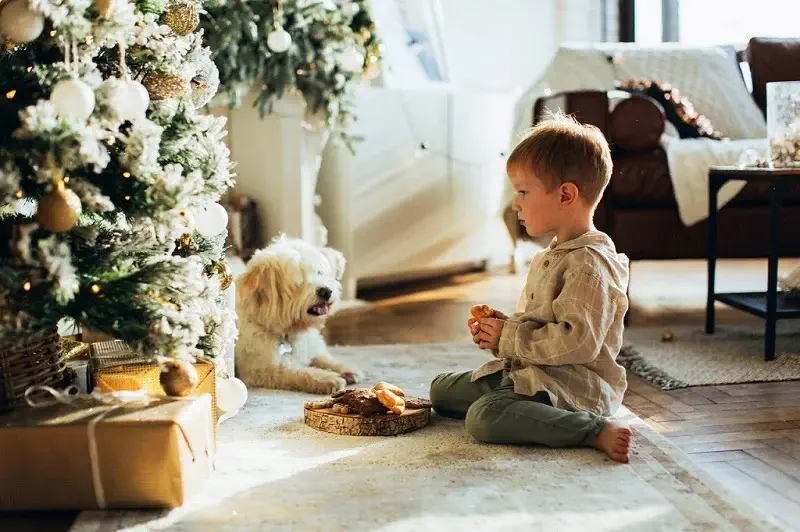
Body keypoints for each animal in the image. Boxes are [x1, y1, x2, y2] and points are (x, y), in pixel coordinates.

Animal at [233, 237, 360, 394]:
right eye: (298, 282)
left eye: (319, 272)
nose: (326, 291)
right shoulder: (262, 370)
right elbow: (299, 372)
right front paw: (327, 378)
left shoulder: (312, 348)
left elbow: (323, 358)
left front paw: (345, 368)